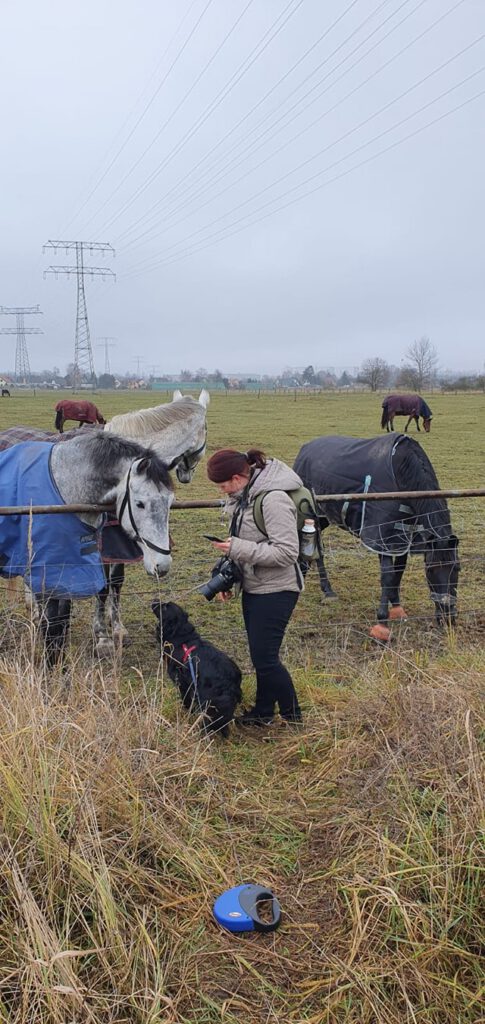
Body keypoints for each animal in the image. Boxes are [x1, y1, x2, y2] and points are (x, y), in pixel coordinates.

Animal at [151, 598, 242, 737]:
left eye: (166, 607)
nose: (154, 600)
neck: (181, 637)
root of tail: (233, 682)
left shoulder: (182, 682)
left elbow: (186, 700)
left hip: (209, 702)